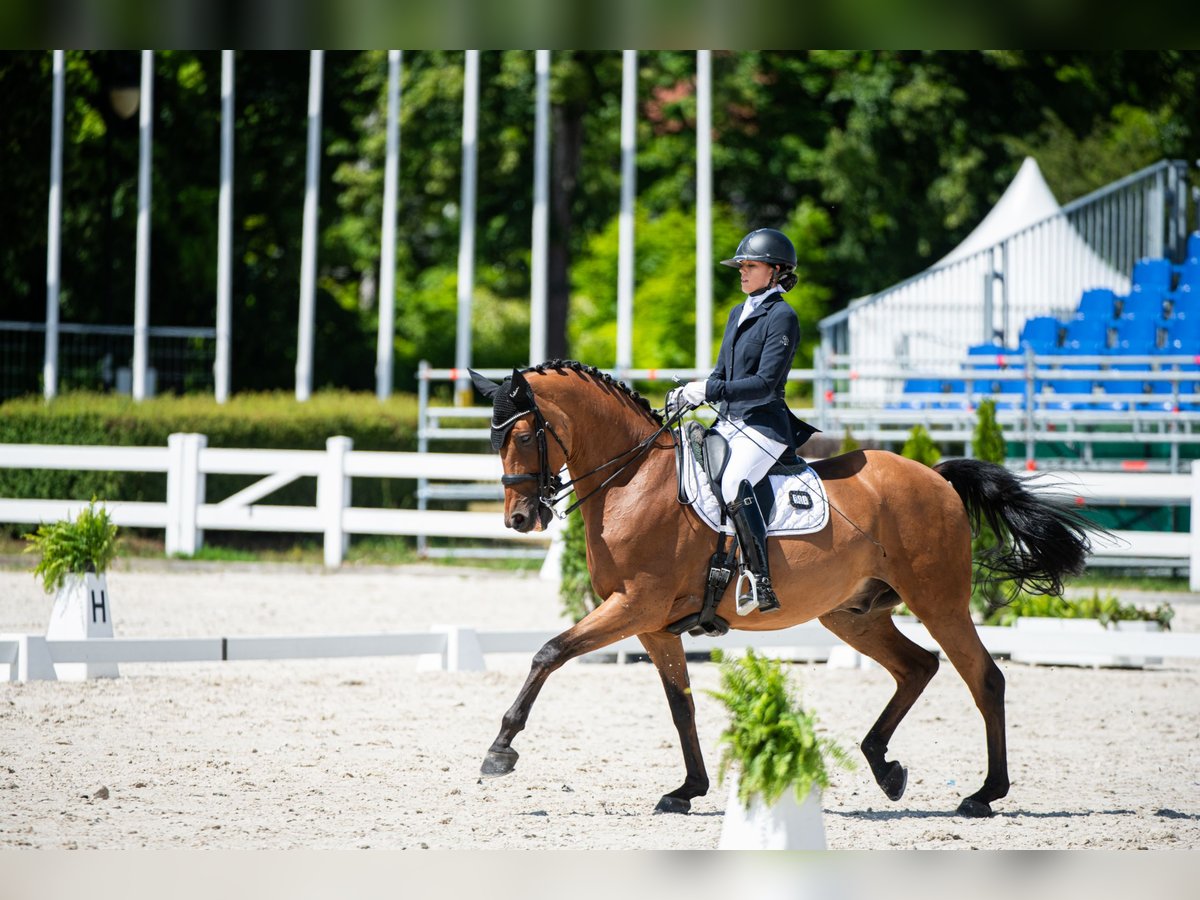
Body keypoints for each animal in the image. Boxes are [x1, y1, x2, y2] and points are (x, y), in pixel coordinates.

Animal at [468, 360, 1099, 816]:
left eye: (523, 435)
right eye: (494, 440)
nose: (520, 519)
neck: (634, 479)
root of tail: (935, 477)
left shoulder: (633, 605)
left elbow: (549, 652)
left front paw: (500, 751)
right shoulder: (652, 624)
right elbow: (681, 706)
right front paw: (687, 789)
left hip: (938, 601)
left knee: (983, 679)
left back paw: (983, 794)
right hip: (852, 614)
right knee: (917, 667)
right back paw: (885, 768)